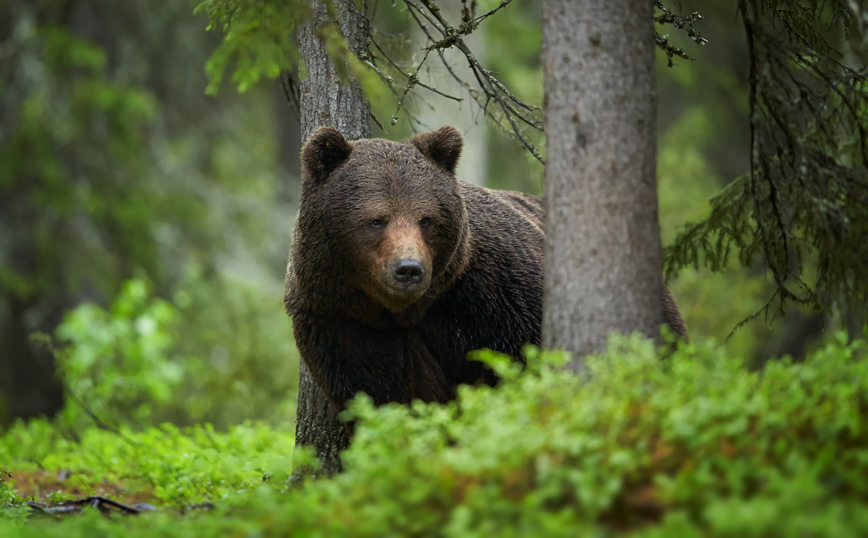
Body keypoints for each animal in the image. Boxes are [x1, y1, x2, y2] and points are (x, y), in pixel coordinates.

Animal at [284, 124, 684, 406]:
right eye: (376, 220)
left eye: (426, 219)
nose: (409, 268)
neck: (408, 311)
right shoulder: (345, 324)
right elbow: (400, 394)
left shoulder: (496, 296)